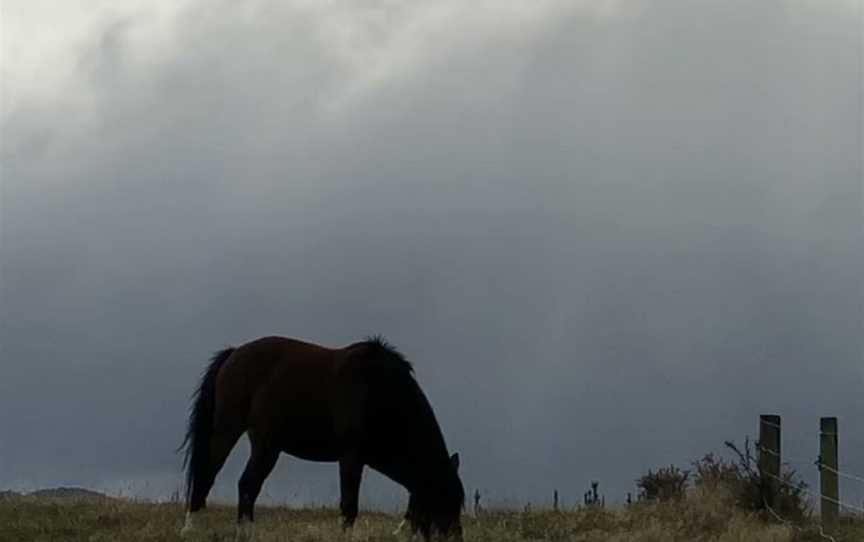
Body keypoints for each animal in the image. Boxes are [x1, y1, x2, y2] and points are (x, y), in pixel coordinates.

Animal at [177, 336, 466, 540]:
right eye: (444, 498)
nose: (455, 539)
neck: (379, 393)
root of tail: (233, 353)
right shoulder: (351, 457)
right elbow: (349, 506)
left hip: (267, 445)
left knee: (248, 485)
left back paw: (246, 533)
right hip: (228, 430)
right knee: (207, 473)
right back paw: (191, 529)